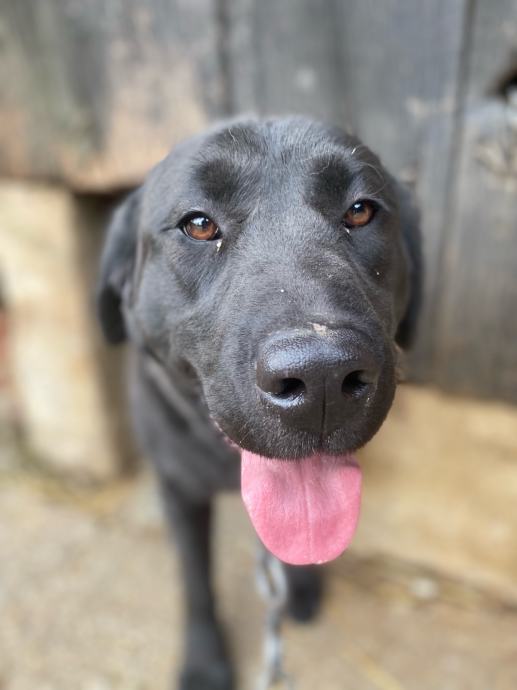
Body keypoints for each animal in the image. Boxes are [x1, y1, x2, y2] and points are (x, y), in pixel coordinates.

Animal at [97, 116, 422, 690]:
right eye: (198, 224)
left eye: (361, 210)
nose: (320, 377)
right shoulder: (177, 487)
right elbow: (195, 578)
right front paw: (204, 661)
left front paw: (300, 587)